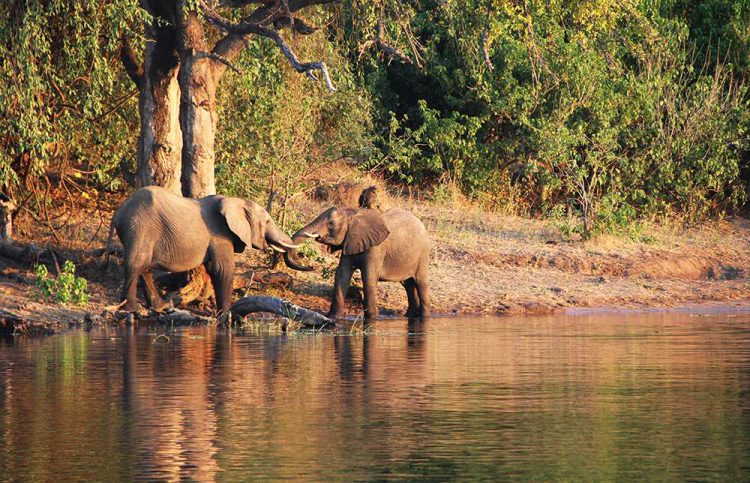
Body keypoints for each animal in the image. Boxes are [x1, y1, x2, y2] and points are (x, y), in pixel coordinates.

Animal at [107, 185, 310, 314]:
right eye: (267, 222)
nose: (310, 266)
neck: (234, 201)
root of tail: (118, 212)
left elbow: (214, 269)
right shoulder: (220, 234)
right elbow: (223, 269)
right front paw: (227, 317)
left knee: (145, 267)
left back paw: (160, 307)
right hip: (140, 227)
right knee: (135, 265)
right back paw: (132, 310)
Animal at [286, 206, 432, 320]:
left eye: (331, 224)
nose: (303, 257)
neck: (353, 214)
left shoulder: (376, 248)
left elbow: (368, 277)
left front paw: (372, 318)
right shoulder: (349, 241)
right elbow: (342, 274)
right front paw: (333, 317)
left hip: (423, 253)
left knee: (420, 283)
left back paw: (424, 316)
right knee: (408, 284)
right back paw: (409, 316)